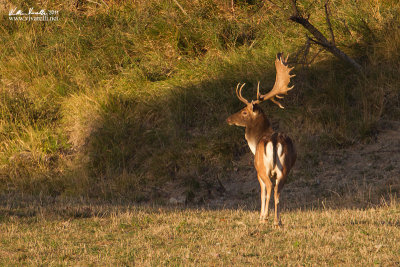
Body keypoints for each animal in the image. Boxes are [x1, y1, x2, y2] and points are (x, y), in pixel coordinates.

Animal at [227, 53, 296, 227]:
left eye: (244, 112)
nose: (228, 119)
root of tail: (274, 140)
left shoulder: (257, 170)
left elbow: (262, 192)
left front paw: (261, 216)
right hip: (284, 170)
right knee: (278, 191)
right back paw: (278, 221)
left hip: (264, 168)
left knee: (270, 188)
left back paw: (266, 219)